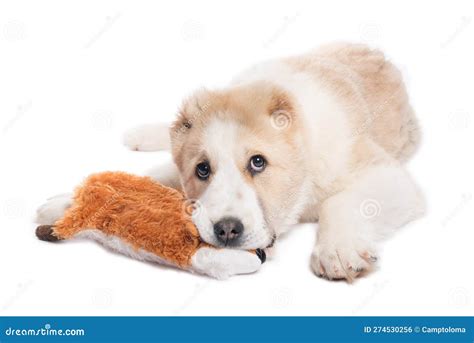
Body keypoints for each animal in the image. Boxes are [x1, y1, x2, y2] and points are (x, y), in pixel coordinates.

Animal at [39, 43, 426, 280]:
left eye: (258, 163)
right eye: (202, 169)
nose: (226, 230)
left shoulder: (387, 175)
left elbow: (341, 202)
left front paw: (338, 250)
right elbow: (154, 175)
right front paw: (70, 202)